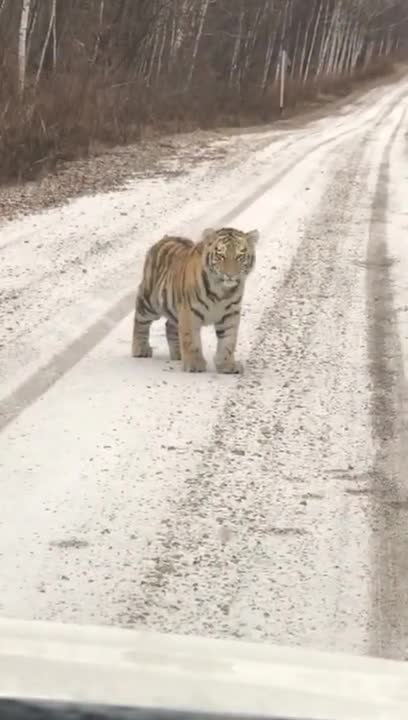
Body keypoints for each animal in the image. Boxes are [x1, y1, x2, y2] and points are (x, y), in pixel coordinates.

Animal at [131, 226, 258, 374]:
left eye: (240, 257)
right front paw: (194, 364)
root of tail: (165, 238)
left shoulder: (230, 314)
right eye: (221, 256)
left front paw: (227, 365)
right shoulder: (190, 312)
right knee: (140, 321)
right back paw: (140, 349)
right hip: (150, 302)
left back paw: (178, 354)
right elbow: (191, 339)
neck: (222, 292)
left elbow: (228, 341)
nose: (230, 275)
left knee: (170, 326)